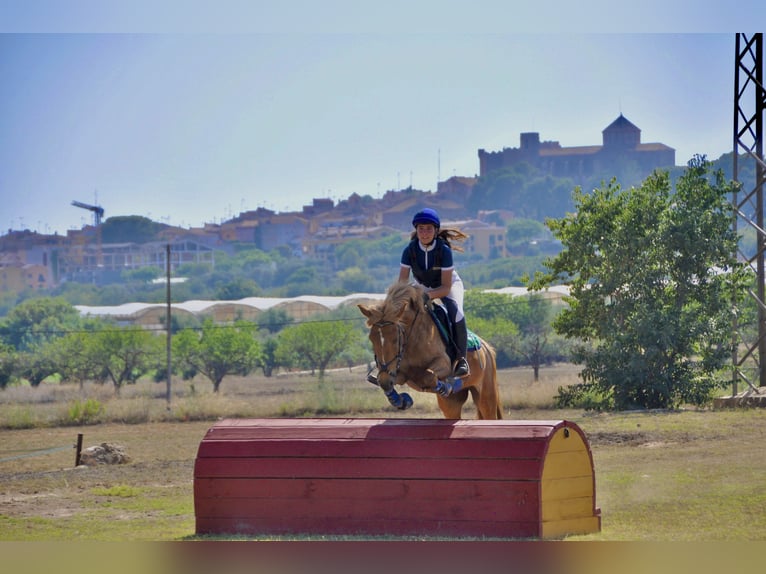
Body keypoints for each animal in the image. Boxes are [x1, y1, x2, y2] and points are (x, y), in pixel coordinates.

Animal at [358, 282, 504, 420]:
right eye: (371, 339)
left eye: (395, 339)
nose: (385, 379)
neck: (413, 338)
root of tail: (487, 348)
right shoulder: (398, 372)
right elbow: (397, 380)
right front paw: (401, 400)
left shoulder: (444, 363)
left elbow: (428, 375)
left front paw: (444, 386)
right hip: (451, 404)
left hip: (486, 397)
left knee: (489, 413)